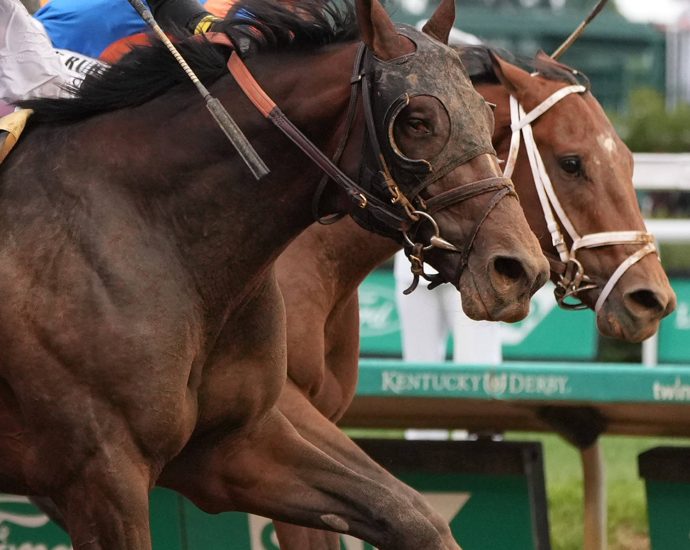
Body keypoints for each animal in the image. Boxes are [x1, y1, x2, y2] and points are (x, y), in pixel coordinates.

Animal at [0, 0, 549, 548]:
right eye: (416, 121)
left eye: (484, 112)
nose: (519, 269)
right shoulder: (102, 475)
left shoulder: (233, 445)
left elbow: (410, 515)